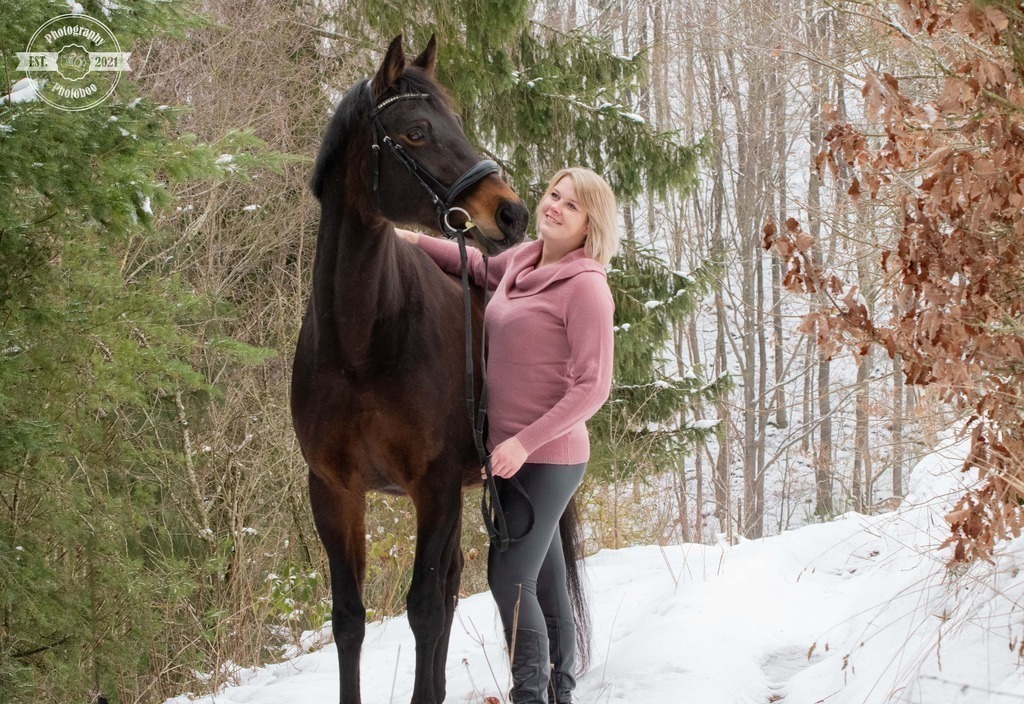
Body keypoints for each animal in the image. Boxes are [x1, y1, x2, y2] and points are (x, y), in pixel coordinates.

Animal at [292, 35, 586, 704]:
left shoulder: (435, 486)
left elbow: (424, 607)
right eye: (418, 131)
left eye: (459, 122)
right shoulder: (334, 491)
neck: (359, 346)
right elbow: (349, 618)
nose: (511, 214)